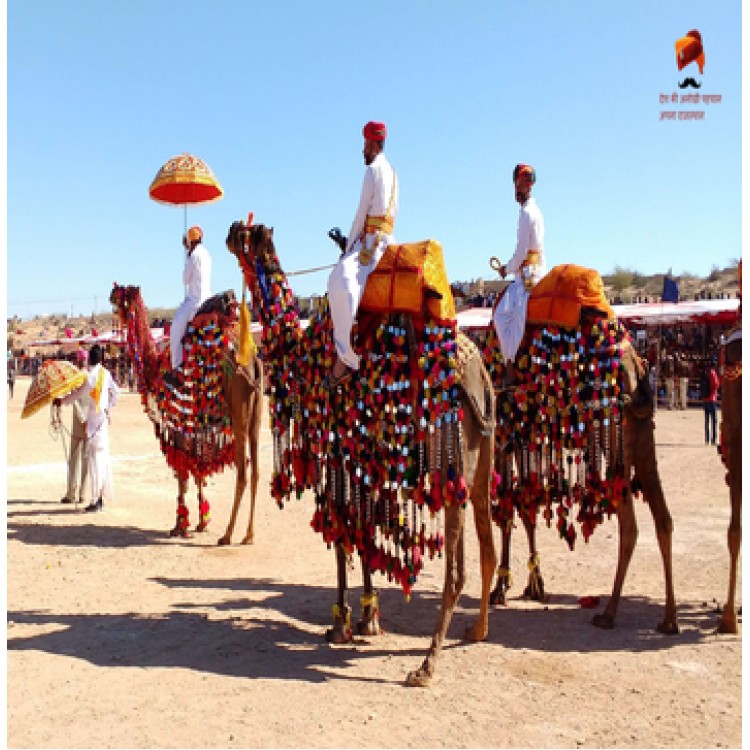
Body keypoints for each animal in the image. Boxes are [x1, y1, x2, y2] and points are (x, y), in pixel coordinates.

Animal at [110, 284, 262, 548]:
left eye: (119, 296)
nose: (110, 298)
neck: (153, 367)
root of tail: (251, 361)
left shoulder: (176, 425)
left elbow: (182, 475)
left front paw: (180, 526)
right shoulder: (194, 427)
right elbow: (198, 470)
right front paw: (201, 522)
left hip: (240, 417)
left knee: (243, 473)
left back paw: (227, 535)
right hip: (256, 418)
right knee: (256, 472)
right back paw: (248, 534)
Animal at [226, 219, 502, 688]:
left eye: (247, 233)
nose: (227, 231)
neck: (306, 358)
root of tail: (478, 372)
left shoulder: (338, 449)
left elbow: (343, 532)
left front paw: (341, 624)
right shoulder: (363, 456)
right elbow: (364, 529)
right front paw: (369, 617)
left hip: (450, 454)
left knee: (456, 568)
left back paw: (426, 665)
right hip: (482, 454)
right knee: (486, 547)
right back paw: (478, 629)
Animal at [482, 264, 680, 636]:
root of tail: (636, 365)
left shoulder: (504, 434)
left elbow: (508, 507)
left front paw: (502, 587)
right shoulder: (525, 436)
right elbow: (526, 505)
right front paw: (533, 584)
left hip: (613, 434)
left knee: (629, 527)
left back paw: (609, 613)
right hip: (642, 436)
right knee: (664, 519)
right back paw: (669, 619)